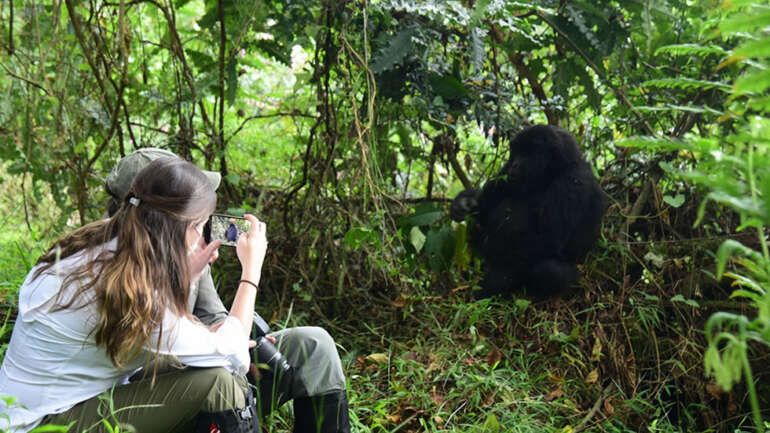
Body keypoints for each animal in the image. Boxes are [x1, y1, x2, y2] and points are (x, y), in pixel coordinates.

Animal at [450, 125, 608, 298]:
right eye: (516, 153)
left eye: (527, 154)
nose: (515, 165)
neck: (551, 172)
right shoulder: (507, 172)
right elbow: (485, 209)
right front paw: (464, 202)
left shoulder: (573, 180)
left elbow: (546, 240)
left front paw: (495, 281)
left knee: (549, 271)